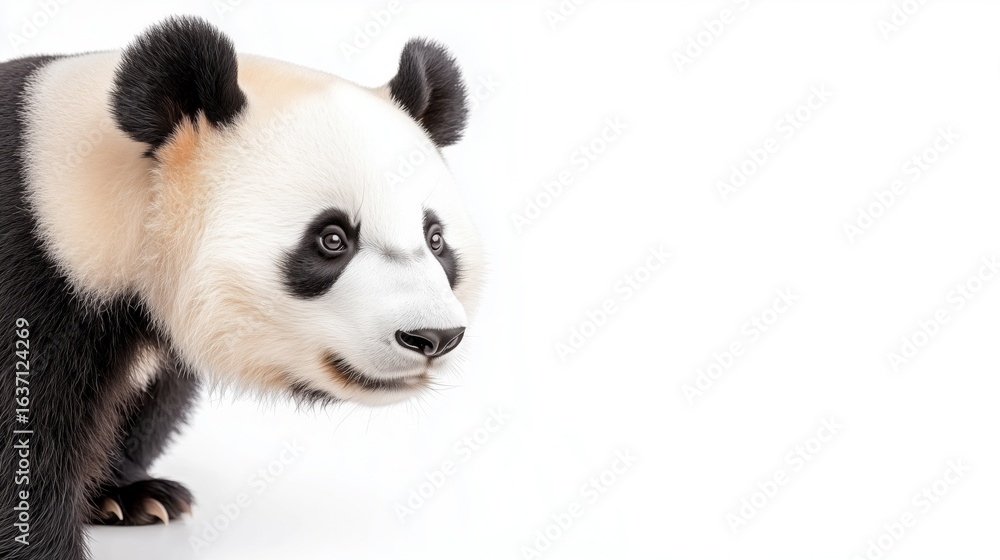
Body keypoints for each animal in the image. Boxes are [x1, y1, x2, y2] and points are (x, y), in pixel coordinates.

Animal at [0, 15, 484, 560]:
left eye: (435, 239)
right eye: (332, 239)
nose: (432, 338)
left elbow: (152, 399)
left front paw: (126, 496)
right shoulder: (34, 266)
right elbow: (26, 425)